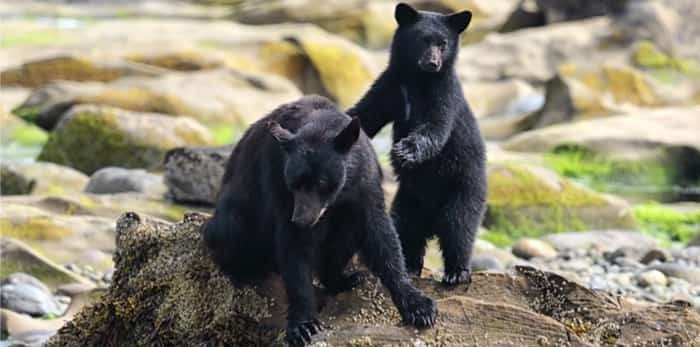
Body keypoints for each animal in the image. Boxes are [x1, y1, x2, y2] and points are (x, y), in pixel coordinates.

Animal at [202, 96, 440, 347]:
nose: (302, 219)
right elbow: (294, 248)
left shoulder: (365, 182)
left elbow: (380, 235)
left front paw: (419, 306)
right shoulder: (279, 183)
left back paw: (345, 278)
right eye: (294, 183)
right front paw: (303, 325)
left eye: (321, 182)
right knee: (229, 231)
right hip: (236, 214)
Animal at [348, 3, 486, 286]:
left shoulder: (445, 94)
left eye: (443, 43)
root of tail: (431, 221)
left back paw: (456, 272)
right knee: (406, 229)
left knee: (459, 227)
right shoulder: (390, 86)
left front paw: (404, 152)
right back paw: (410, 266)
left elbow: (435, 128)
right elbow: (365, 114)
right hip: (407, 199)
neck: (418, 81)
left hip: (464, 188)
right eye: (422, 39)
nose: (433, 63)